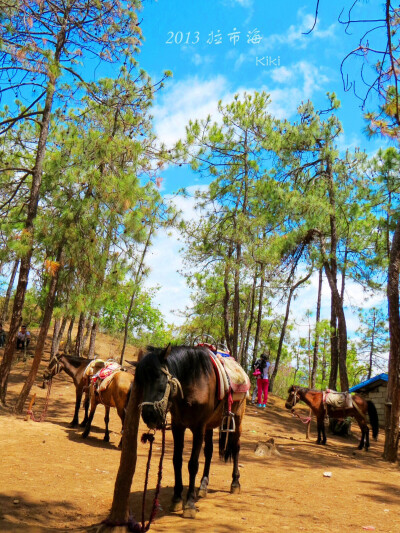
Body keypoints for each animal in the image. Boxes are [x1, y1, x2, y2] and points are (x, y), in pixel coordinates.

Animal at [136, 344, 245, 516]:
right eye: (140, 382)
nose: (149, 415)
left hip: (238, 420)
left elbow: (193, 464)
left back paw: (235, 482)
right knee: (209, 452)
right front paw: (176, 499)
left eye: (159, 379)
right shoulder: (178, 426)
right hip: (210, 425)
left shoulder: (198, 428)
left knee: (236, 448)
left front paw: (189, 503)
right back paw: (203, 485)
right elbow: (177, 460)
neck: (193, 383)